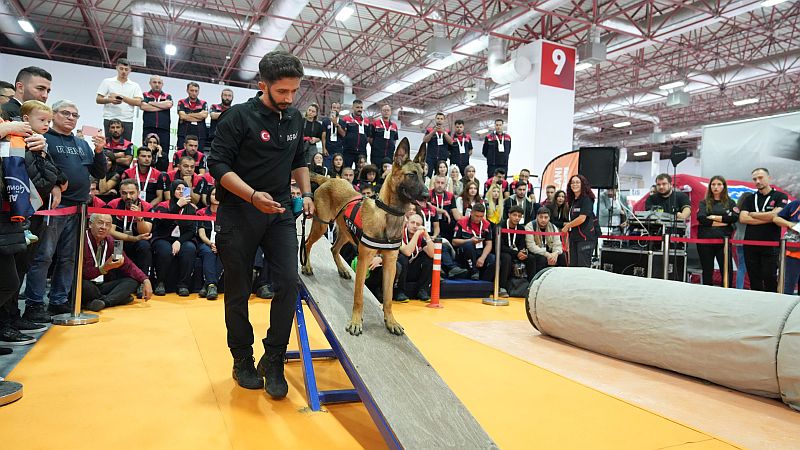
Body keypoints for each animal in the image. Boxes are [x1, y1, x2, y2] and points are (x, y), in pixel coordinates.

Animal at [302, 139, 428, 336]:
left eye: (424, 175)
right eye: (411, 175)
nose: (427, 195)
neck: (388, 214)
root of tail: (329, 179)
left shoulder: (390, 264)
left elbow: (388, 298)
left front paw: (391, 321)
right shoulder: (363, 260)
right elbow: (358, 295)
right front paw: (355, 322)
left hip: (346, 233)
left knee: (333, 248)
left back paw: (342, 270)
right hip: (321, 226)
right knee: (307, 243)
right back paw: (306, 266)